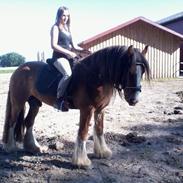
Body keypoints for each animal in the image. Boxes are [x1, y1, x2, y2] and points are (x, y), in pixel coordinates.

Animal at [1, 45, 150, 168]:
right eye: (130, 71)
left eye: (142, 71)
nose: (134, 100)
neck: (96, 76)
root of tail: (19, 68)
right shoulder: (87, 109)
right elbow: (83, 132)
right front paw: (81, 161)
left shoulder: (100, 110)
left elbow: (99, 130)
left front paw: (102, 152)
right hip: (18, 102)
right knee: (12, 122)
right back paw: (10, 147)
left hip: (35, 104)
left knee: (28, 122)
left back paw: (33, 147)